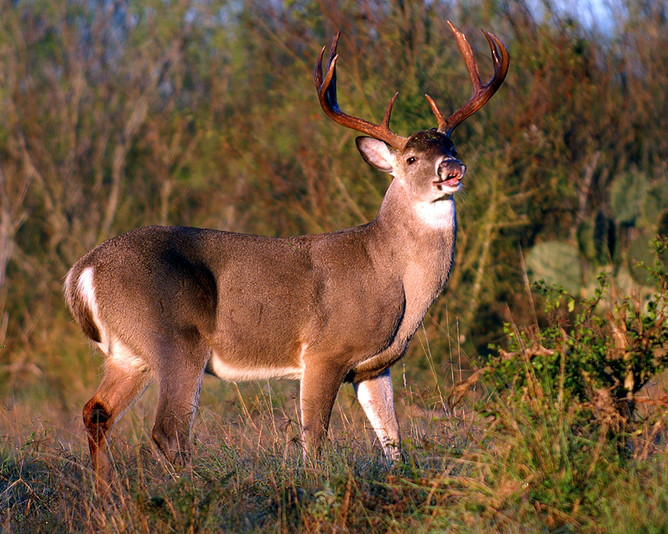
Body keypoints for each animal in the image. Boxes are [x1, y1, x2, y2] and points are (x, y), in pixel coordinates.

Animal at [65, 22, 508, 490]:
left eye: (452, 147)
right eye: (410, 158)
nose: (452, 169)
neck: (389, 270)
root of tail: (83, 271)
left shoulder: (374, 367)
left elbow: (394, 444)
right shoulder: (325, 351)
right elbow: (314, 441)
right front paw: (318, 489)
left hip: (129, 356)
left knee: (97, 412)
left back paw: (107, 494)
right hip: (175, 339)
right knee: (168, 431)